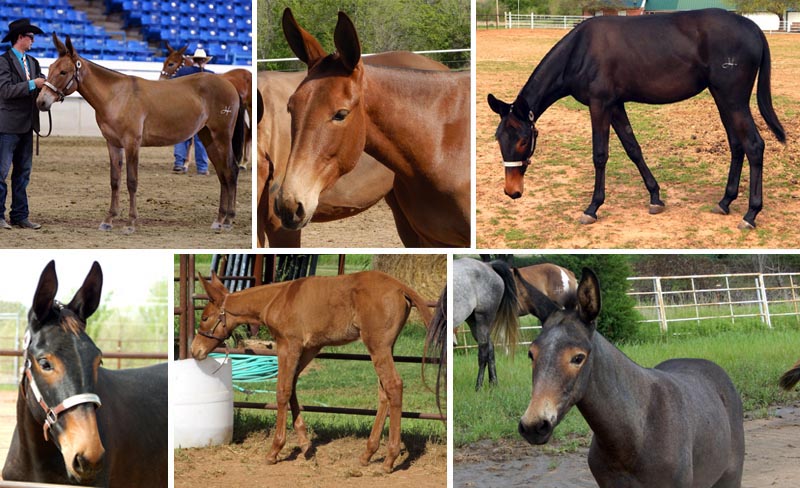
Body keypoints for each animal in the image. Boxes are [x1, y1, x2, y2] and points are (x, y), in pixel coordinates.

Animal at [37, 33, 246, 233]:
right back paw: (219, 220)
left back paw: (229, 220)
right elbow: (115, 181)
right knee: (222, 174)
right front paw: (108, 220)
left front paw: (130, 223)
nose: (41, 101)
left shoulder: (132, 144)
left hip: (221, 137)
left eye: (63, 72)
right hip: (208, 138)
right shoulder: (113, 144)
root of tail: (230, 85)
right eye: (50, 68)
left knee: (231, 170)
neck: (116, 95)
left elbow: (131, 181)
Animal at [190, 270, 433, 473]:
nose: (195, 350)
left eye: (205, 318)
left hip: (378, 345)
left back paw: (389, 459)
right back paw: (367, 454)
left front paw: (275, 450)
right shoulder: (310, 347)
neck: (277, 299)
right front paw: (305, 443)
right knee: (384, 392)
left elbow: (283, 390)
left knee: (394, 386)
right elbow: (293, 384)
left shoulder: (289, 344)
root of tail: (401, 287)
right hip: (384, 347)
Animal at [488, 8, 785, 230]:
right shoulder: (616, 106)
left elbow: (600, 155)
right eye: (499, 138)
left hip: (733, 100)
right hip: (723, 99)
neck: (580, 51)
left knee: (754, 146)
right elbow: (633, 148)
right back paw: (725, 202)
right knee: (737, 145)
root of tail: (753, 28)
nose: (512, 191)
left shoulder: (600, 105)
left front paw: (592, 207)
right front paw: (655, 197)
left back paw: (751, 214)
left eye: (524, 140)